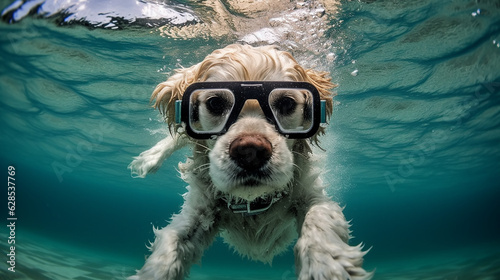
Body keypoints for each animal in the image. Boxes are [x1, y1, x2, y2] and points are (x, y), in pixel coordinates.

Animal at [129, 44, 372, 280]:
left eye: (286, 103)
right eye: (215, 103)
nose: (250, 152)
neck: (252, 203)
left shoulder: (310, 193)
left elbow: (319, 217)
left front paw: (327, 264)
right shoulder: (199, 211)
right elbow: (169, 246)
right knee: (180, 136)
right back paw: (149, 159)